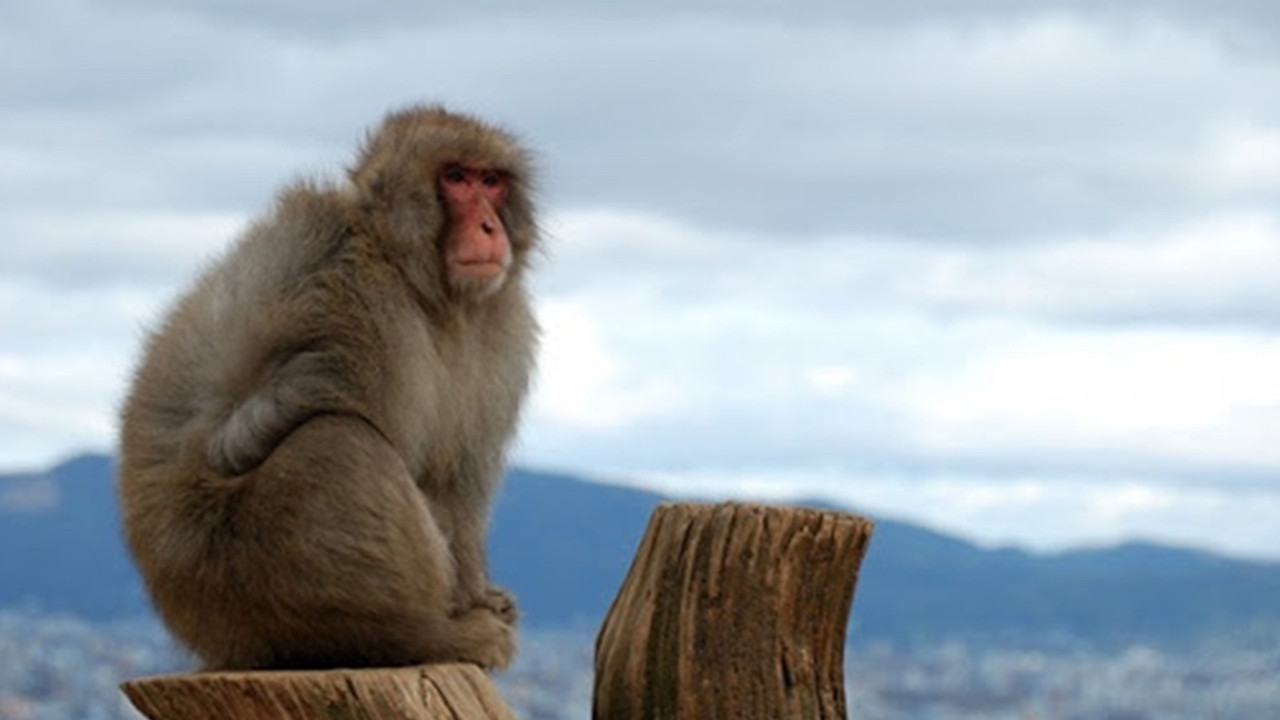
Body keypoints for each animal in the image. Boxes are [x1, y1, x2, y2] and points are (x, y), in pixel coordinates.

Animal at [116, 103, 540, 671]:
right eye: (455, 177)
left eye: (491, 181)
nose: (490, 226)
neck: (422, 286)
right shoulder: (361, 303)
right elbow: (246, 431)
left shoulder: (501, 331)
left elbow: (455, 481)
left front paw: (481, 595)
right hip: (240, 583)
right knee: (339, 440)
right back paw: (422, 637)